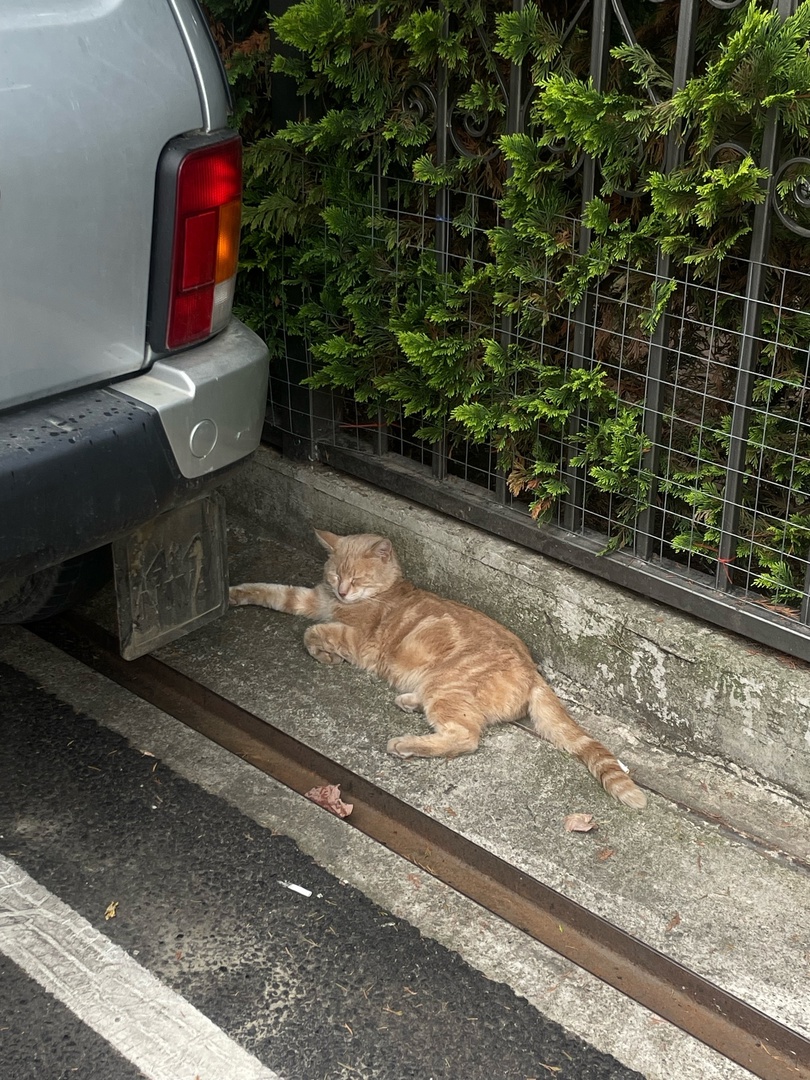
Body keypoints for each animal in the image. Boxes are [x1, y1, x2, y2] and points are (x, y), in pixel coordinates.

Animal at [231, 527, 652, 807]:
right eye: (336, 575)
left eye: (358, 577)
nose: (343, 590)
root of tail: (534, 670)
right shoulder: (310, 599)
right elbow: (273, 592)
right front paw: (235, 592)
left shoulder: (359, 641)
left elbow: (313, 633)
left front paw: (324, 654)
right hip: (442, 690)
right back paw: (408, 702)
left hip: (445, 687)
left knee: (466, 736)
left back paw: (405, 744)